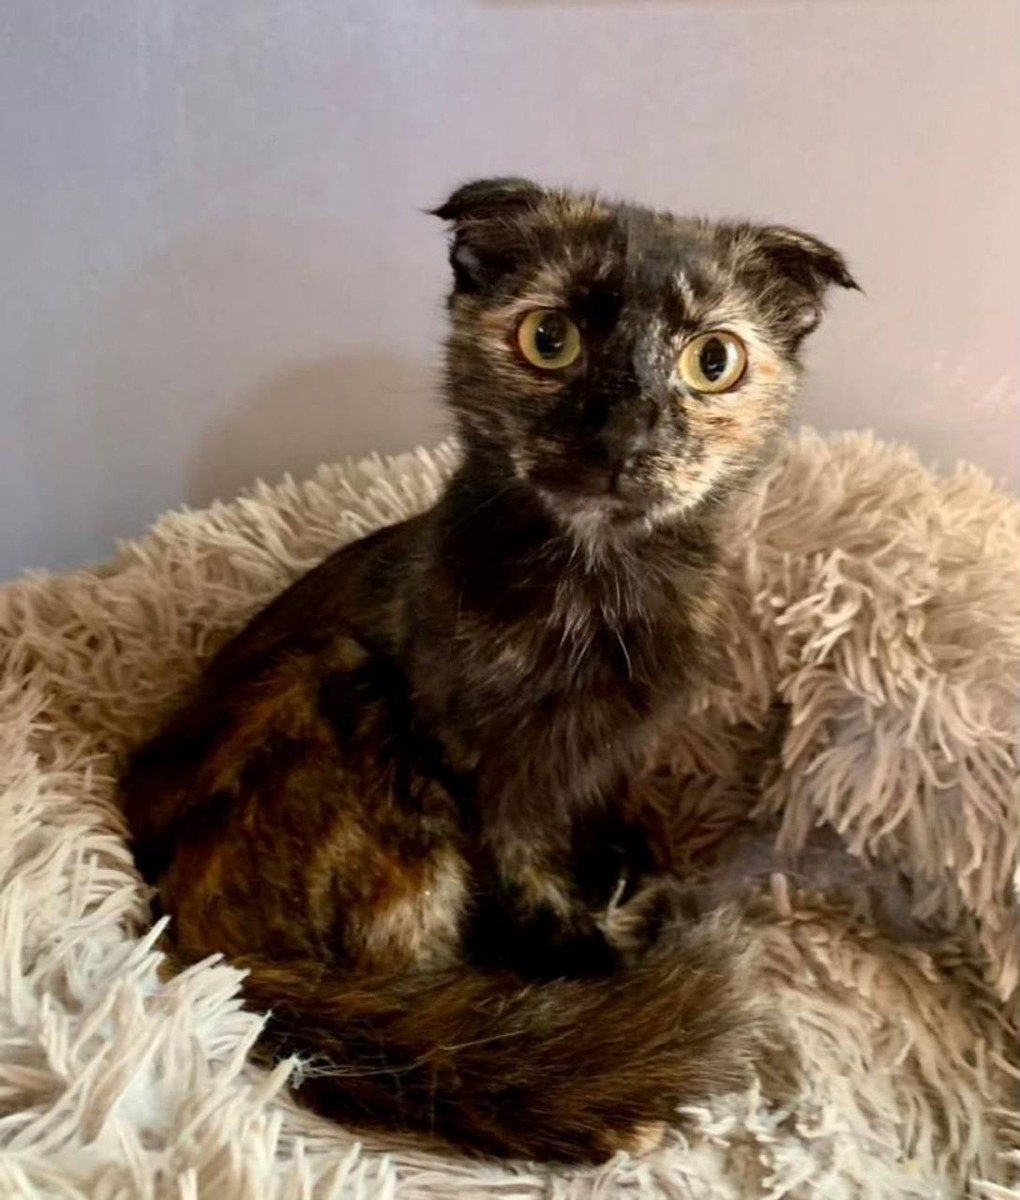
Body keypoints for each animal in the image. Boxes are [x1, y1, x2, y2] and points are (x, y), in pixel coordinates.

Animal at [121, 177, 857, 1163]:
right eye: (550, 339)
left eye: (713, 360)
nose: (624, 437)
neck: (599, 595)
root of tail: (195, 934)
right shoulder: (490, 771)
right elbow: (528, 879)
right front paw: (593, 964)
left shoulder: (611, 751)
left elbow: (593, 818)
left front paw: (622, 867)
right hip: (350, 703)